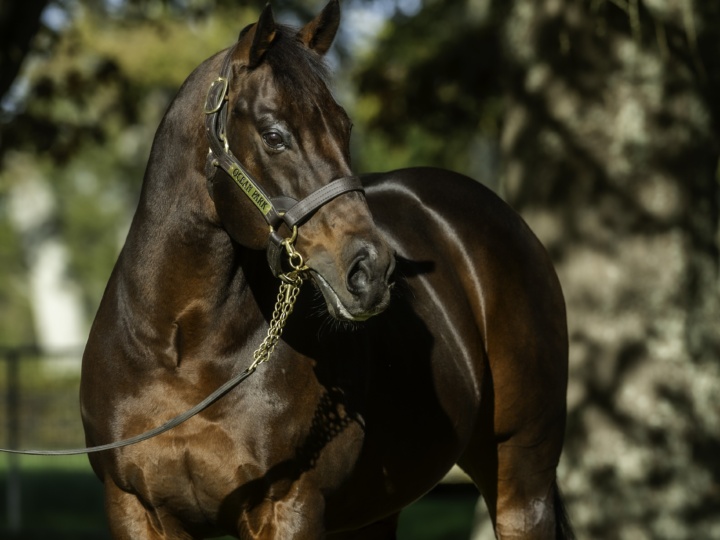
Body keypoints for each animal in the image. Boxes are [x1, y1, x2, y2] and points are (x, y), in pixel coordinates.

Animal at [79, 2, 572, 536]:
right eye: (274, 135)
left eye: (344, 126)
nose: (371, 272)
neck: (179, 355)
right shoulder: (135, 509)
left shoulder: (288, 505)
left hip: (521, 481)